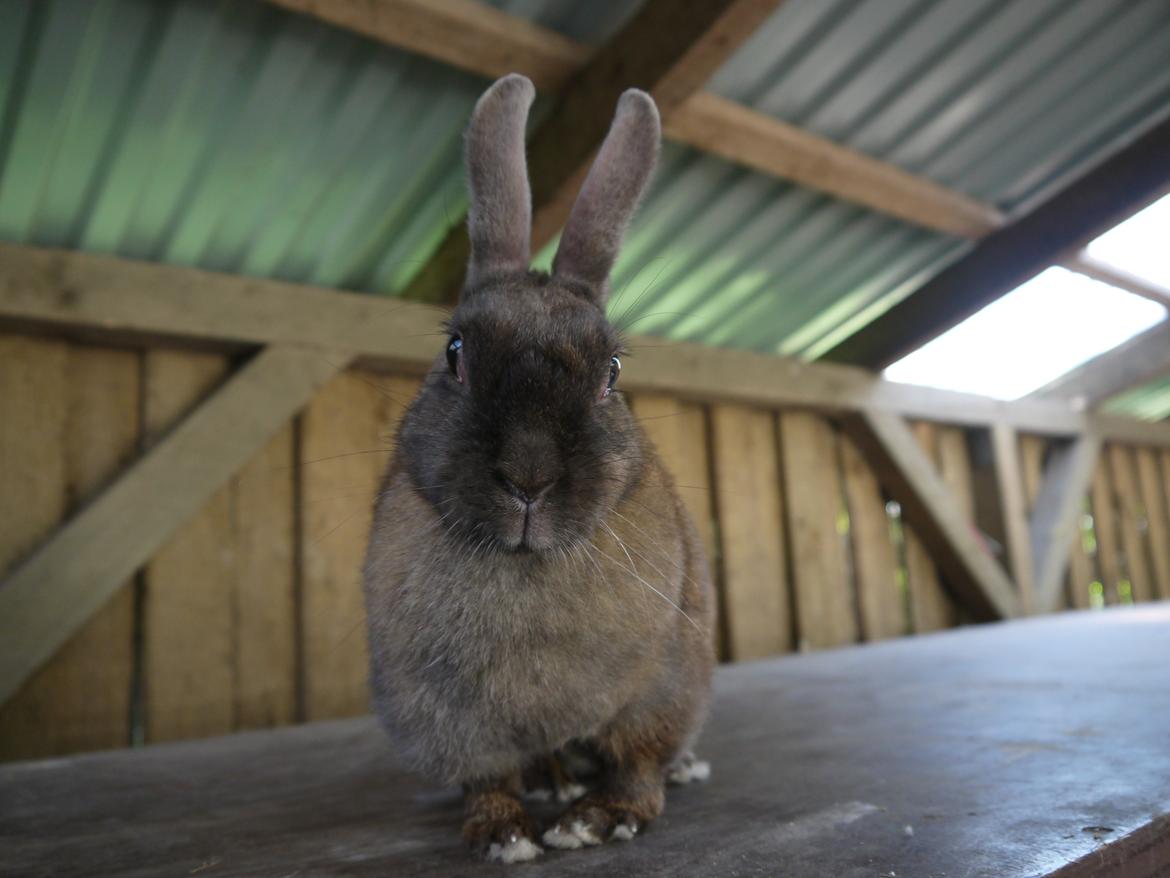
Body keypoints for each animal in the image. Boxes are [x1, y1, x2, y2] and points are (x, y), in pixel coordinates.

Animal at [360, 70, 716, 866]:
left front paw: (600, 820)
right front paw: (505, 834)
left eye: (612, 371)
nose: (528, 476)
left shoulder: (660, 686)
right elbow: (487, 779)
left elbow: (637, 761)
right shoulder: (449, 719)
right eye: (455, 353)